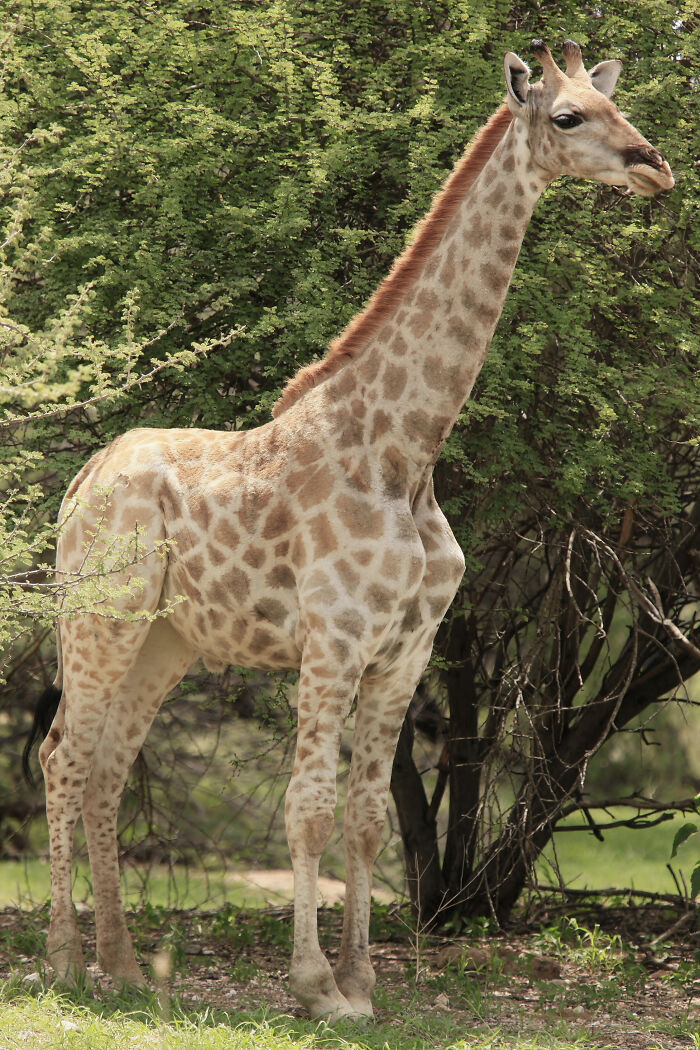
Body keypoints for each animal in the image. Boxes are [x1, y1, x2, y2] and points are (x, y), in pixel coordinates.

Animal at [23, 39, 673, 1020]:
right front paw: (314, 988)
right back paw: (66, 963)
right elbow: (310, 809)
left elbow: (370, 819)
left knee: (104, 768)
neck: (405, 451)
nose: (654, 166)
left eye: (616, 105)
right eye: (568, 117)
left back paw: (126, 968)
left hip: (166, 639)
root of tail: (83, 478)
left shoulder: (405, 648)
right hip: (100, 618)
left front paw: (364, 982)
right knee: (62, 758)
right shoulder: (331, 639)